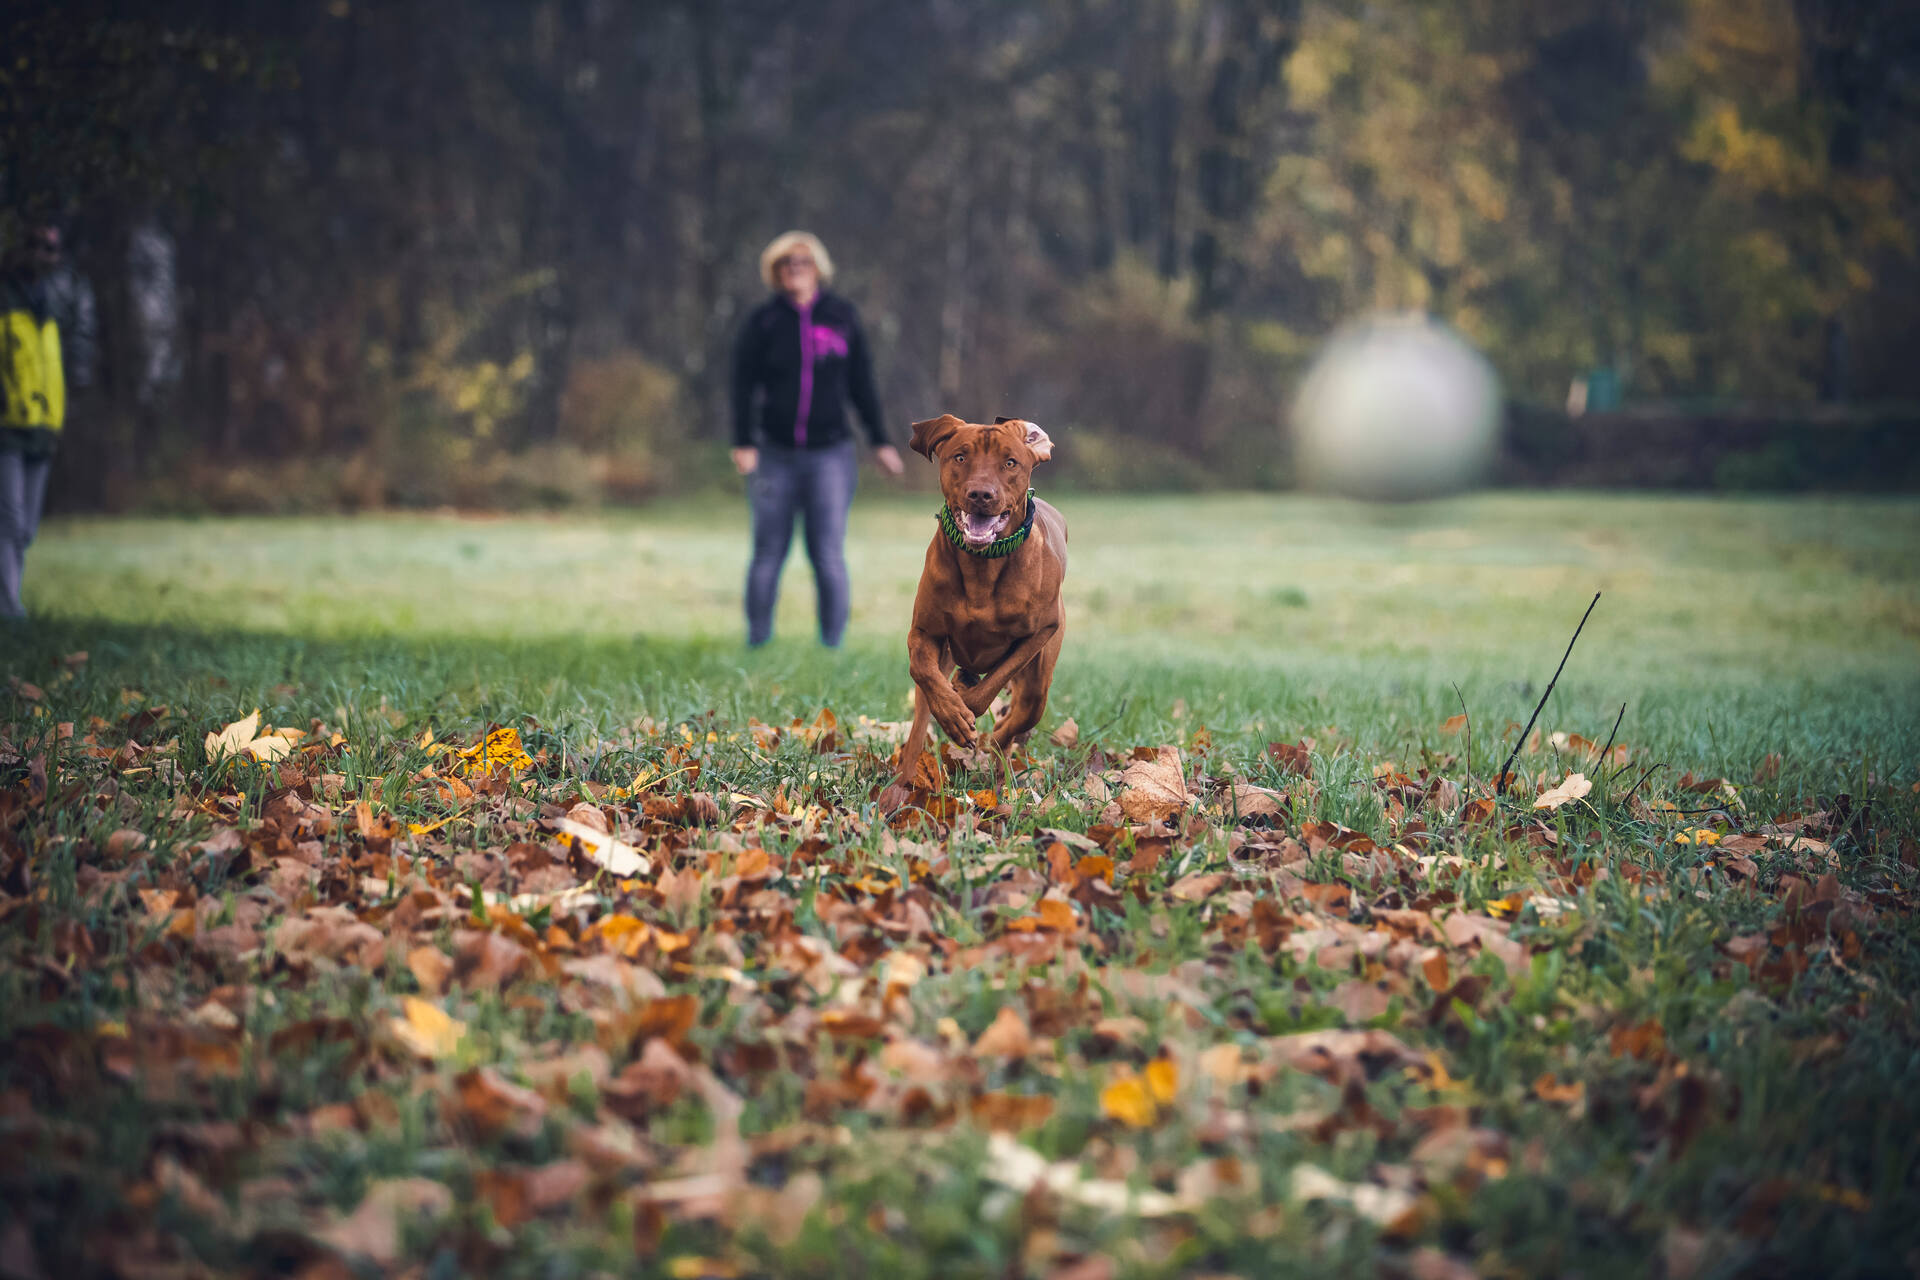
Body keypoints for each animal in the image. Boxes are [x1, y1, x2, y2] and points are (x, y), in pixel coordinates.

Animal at [883, 416, 1067, 805]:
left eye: (1010, 462)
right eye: (960, 457)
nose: (981, 494)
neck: (983, 565)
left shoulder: (1042, 630)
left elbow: (993, 683)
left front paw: (965, 705)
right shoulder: (924, 632)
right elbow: (921, 668)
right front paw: (953, 712)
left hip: (1037, 689)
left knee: (1012, 724)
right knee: (919, 723)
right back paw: (900, 787)